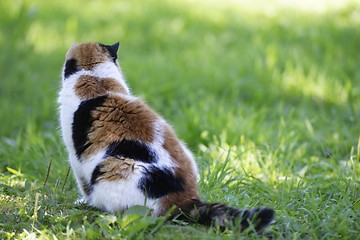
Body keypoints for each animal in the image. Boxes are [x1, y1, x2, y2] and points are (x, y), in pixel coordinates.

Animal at [57, 42, 274, 232]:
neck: (95, 77)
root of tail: (188, 200)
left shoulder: (75, 156)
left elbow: (83, 184)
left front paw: (84, 201)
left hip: (112, 168)